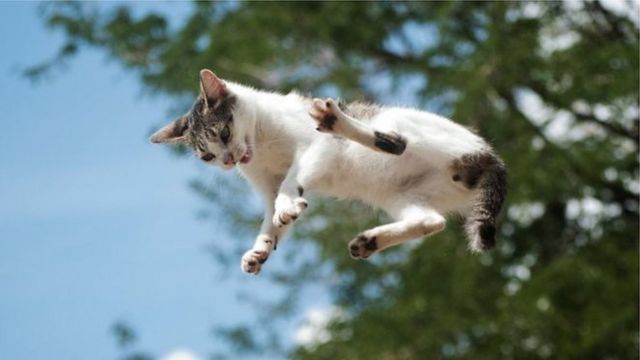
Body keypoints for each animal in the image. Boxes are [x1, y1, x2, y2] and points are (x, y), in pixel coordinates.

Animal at [149, 69, 504, 274]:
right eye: (207, 156)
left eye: (223, 132)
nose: (228, 161)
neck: (262, 147)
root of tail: (490, 156)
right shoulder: (265, 185)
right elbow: (270, 217)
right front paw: (261, 248)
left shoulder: (316, 148)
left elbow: (292, 179)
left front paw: (287, 204)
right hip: (400, 195)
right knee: (432, 221)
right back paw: (369, 241)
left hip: (398, 123)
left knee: (397, 143)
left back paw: (336, 121)